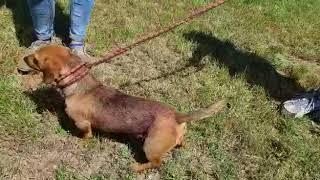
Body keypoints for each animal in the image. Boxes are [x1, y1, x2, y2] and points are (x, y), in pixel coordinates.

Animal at [23, 44, 225, 172]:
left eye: (36, 59)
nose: (24, 56)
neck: (79, 84)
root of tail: (178, 115)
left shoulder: (83, 123)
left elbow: (86, 134)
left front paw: (80, 142)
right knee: (180, 143)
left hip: (150, 146)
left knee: (156, 163)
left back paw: (136, 167)